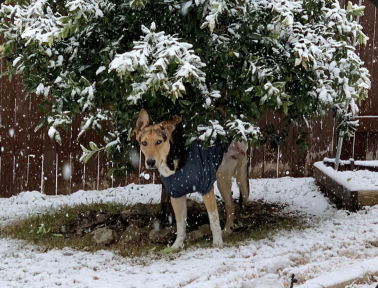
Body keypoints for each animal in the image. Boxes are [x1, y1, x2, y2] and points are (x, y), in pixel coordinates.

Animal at [134, 109, 250, 249]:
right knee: (231, 205)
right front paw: (177, 245)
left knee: (232, 204)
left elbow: (213, 220)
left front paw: (217, 242)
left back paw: (226, 231)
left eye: (158, 142)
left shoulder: (206, 188)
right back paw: (228, 230)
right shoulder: (176, 194)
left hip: (228, 176)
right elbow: (180, 225)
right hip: (223, 178)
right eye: (144, 143)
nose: (150, 162)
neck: (174, 160)